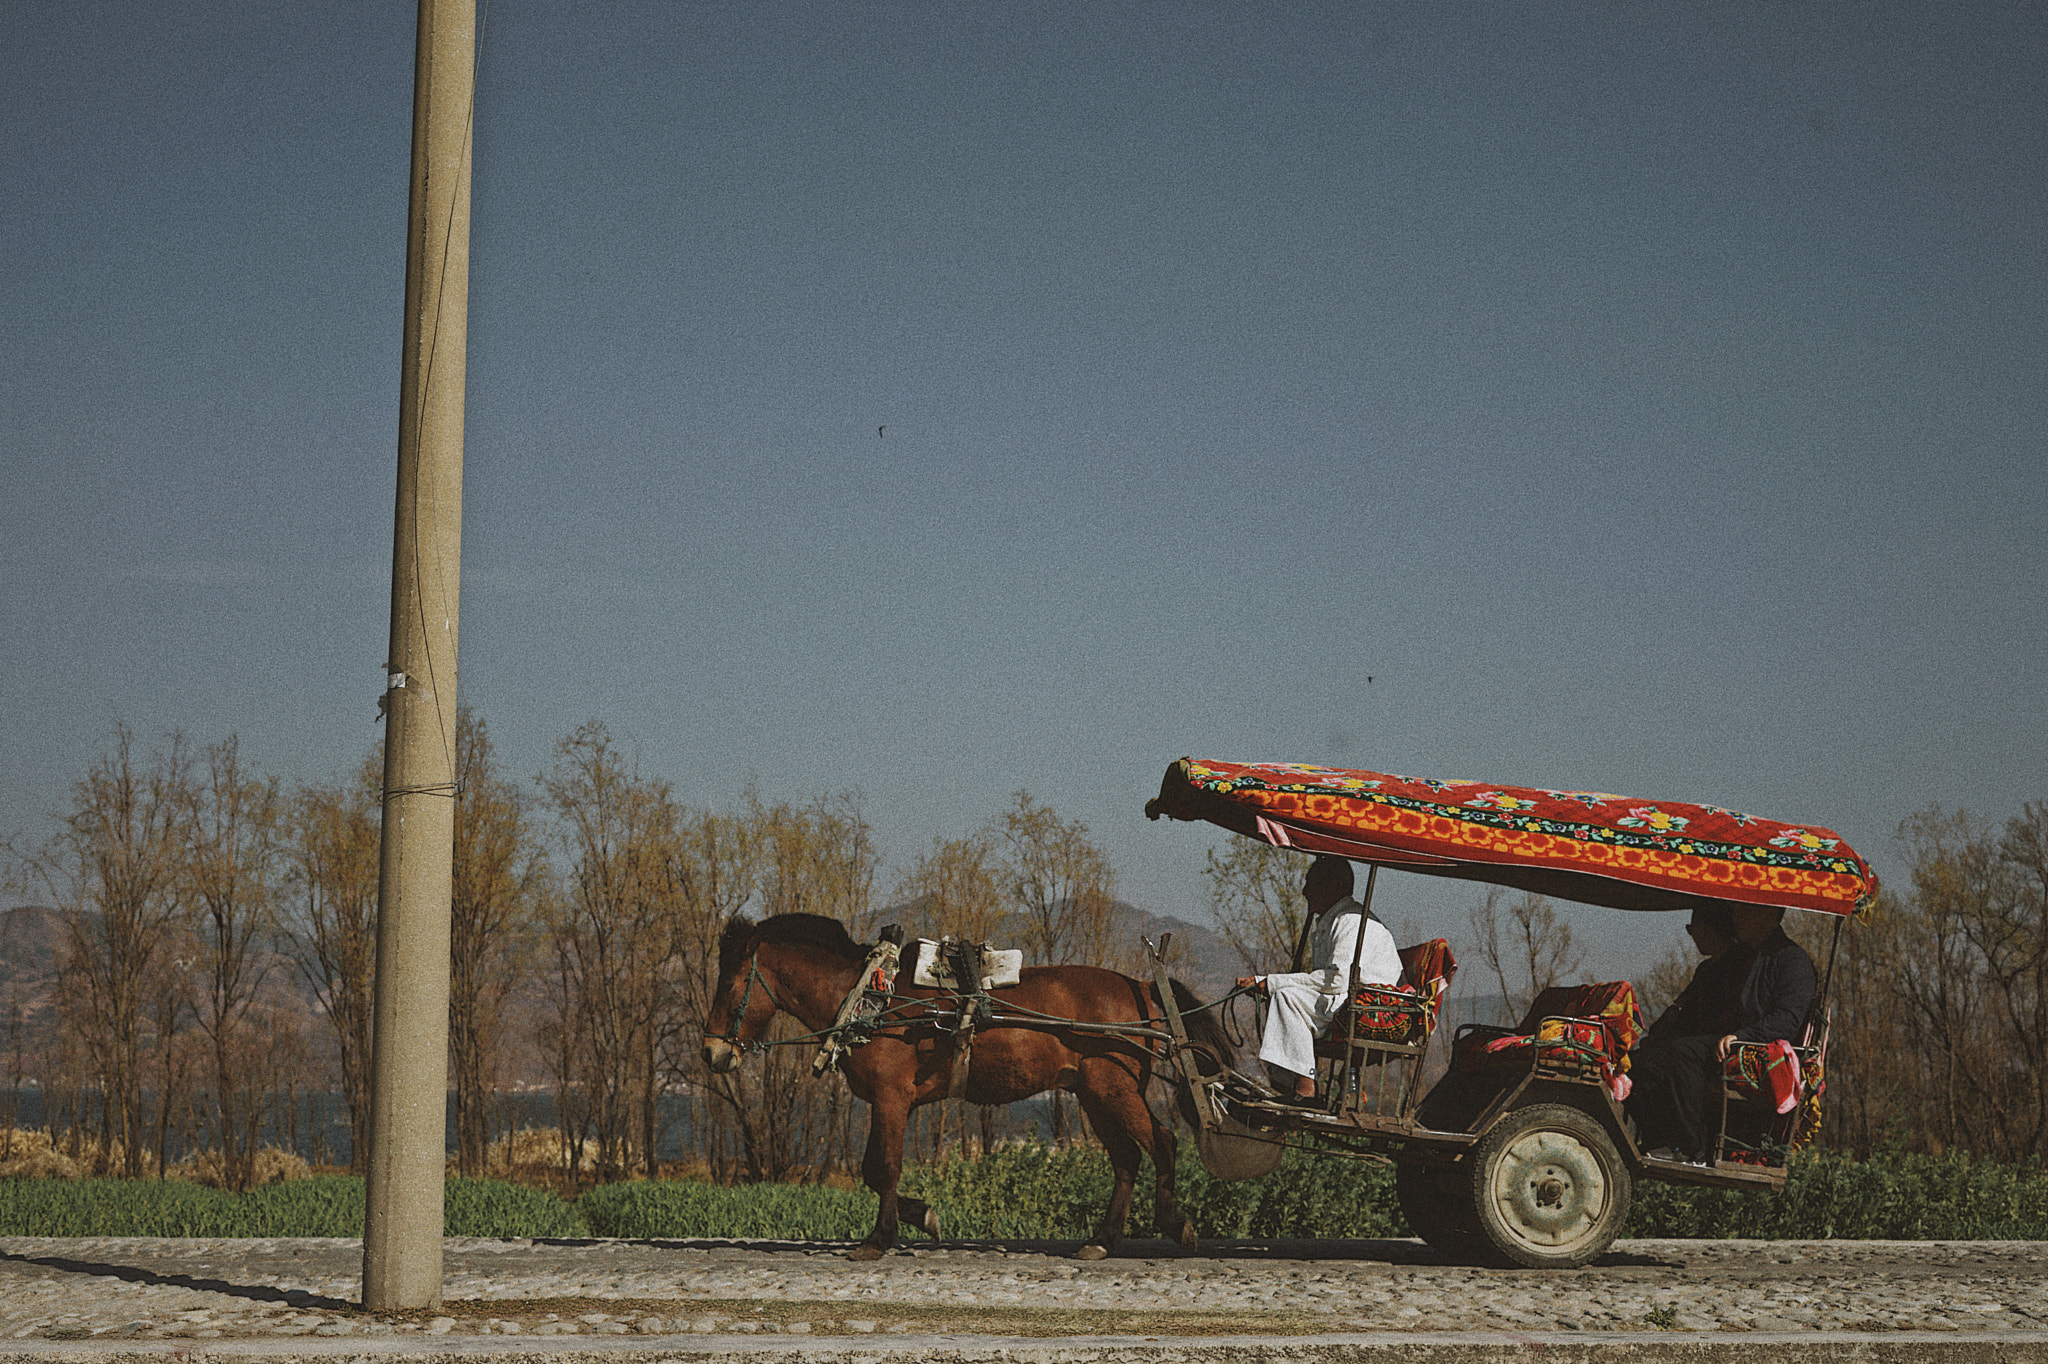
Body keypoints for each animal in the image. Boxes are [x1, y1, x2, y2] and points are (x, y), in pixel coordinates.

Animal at [700, 909, 1228, 1261]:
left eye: (730, 984)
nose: (710, 1052)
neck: (872, 999)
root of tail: (1142, 987)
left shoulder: (892, 1099)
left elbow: (882, 1168)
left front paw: (879, 1239)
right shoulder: (888, 1102)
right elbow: (873, 1171)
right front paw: (921, 1217)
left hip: (1114, 1090)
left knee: (1162, 1143)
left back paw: (1174, 1223)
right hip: (1094, 1094)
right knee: (1127, 1159)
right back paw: (1102, 1239)